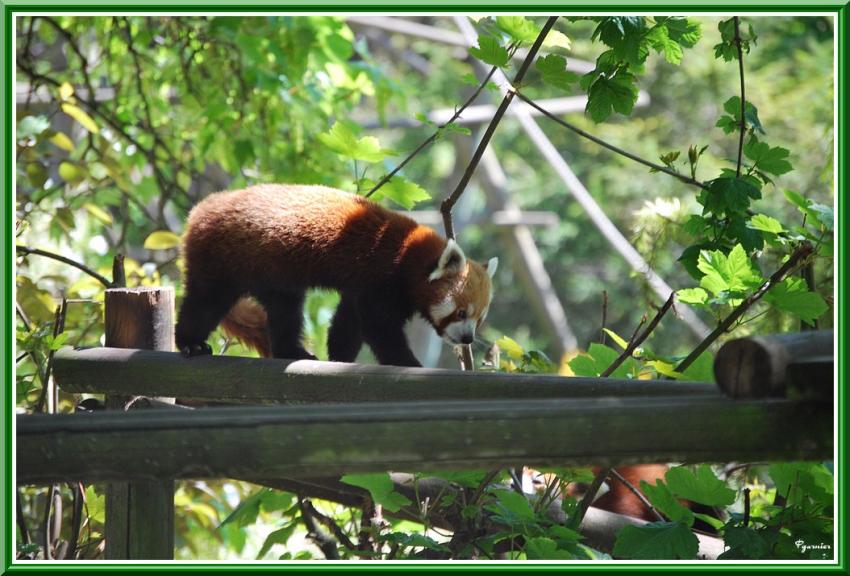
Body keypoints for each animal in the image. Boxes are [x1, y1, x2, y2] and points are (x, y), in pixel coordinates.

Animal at [174, 183, 496, 364]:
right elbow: (379, 329)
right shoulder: (380, 277)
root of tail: (201, 208)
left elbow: (347, 324)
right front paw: (408, 364)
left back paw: (292, 351)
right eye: (461, 313)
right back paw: (191, 342)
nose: (468, 339)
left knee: (285, 312)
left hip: (274, 276)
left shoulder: (361, 287)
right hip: (223, 257)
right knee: (206, 301)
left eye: (479, 319)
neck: (409, 256)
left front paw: (341, 357)